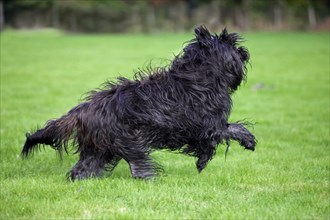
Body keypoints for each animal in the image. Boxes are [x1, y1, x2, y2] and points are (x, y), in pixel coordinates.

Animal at [21, 25, 256, 180]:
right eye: (231, 44)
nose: (244, 51)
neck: (200, 76)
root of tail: (83, 109)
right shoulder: (209, 125)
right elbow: (230, 130)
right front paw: (247, 141)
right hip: (128, 141)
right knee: (138, 164)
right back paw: (150, 178)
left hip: (98, 147)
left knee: (82, 168)